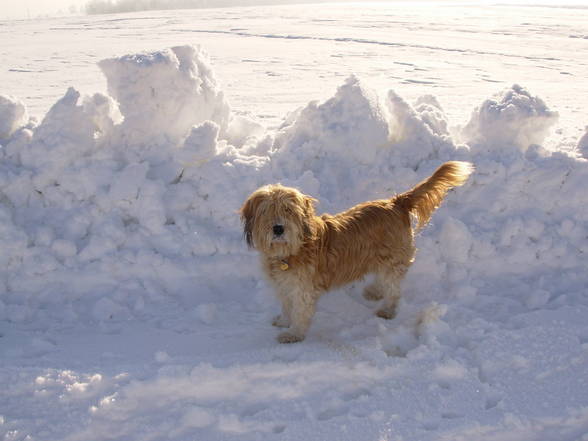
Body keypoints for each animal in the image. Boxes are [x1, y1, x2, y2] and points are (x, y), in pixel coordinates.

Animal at [239, 160, 474, 342]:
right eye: (266, 211)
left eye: (288, 210)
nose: (278, 228)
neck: (290, 251)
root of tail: (396, 202)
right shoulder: (284, 286)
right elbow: (287, 307)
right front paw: (283, 321)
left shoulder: (302, 289)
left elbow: (300, 312)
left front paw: (293, 334)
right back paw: (374, 291)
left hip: (392, 258)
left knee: (394, 289)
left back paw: (387, 309)